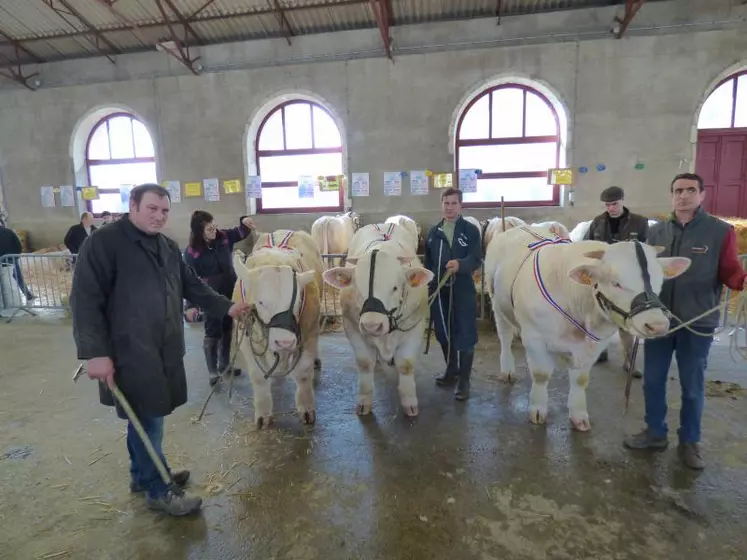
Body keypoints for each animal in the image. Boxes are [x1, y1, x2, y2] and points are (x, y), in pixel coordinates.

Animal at [232, 230, 322, 426]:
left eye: (297, 301)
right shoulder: (245, 338)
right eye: (260, 302)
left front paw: (306, 407)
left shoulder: (309, 332)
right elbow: (258, 376)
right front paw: (263, 412)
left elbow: (303, 372)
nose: (285, 342)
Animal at [324, 222, 436, 416]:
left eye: (395, 287)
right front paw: (364, 401)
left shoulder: (415, 327)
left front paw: (409, 402)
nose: (372, 325)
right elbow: (364, 363)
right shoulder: (352, 327)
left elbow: (405, 364)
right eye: (357, 288)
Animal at [488, 225, 692, 430]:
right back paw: (507, 370)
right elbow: (541, 375)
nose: (657, 325)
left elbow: (580, 379)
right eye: (616, 283)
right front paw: (537, 410)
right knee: (505, 338)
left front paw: (579, 415)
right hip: (497, 305)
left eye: (660, 281)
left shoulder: (595, 343)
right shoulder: (534, 337)